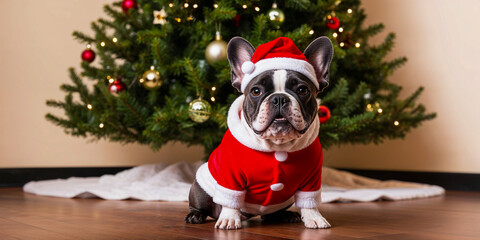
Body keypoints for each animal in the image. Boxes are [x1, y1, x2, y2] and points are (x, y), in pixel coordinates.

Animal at [185, 36, 334, 230]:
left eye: (303, 90)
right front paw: (229, 218)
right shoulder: (230, 175)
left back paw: (285, 215)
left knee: (269, 214)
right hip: (200, 190)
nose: (279, 98)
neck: (277, 145)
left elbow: (310, 201)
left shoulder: (312, 178)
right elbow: (230, 198)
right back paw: (196, 215)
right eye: (256, 91)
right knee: (201, 204)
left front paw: (314, 217)